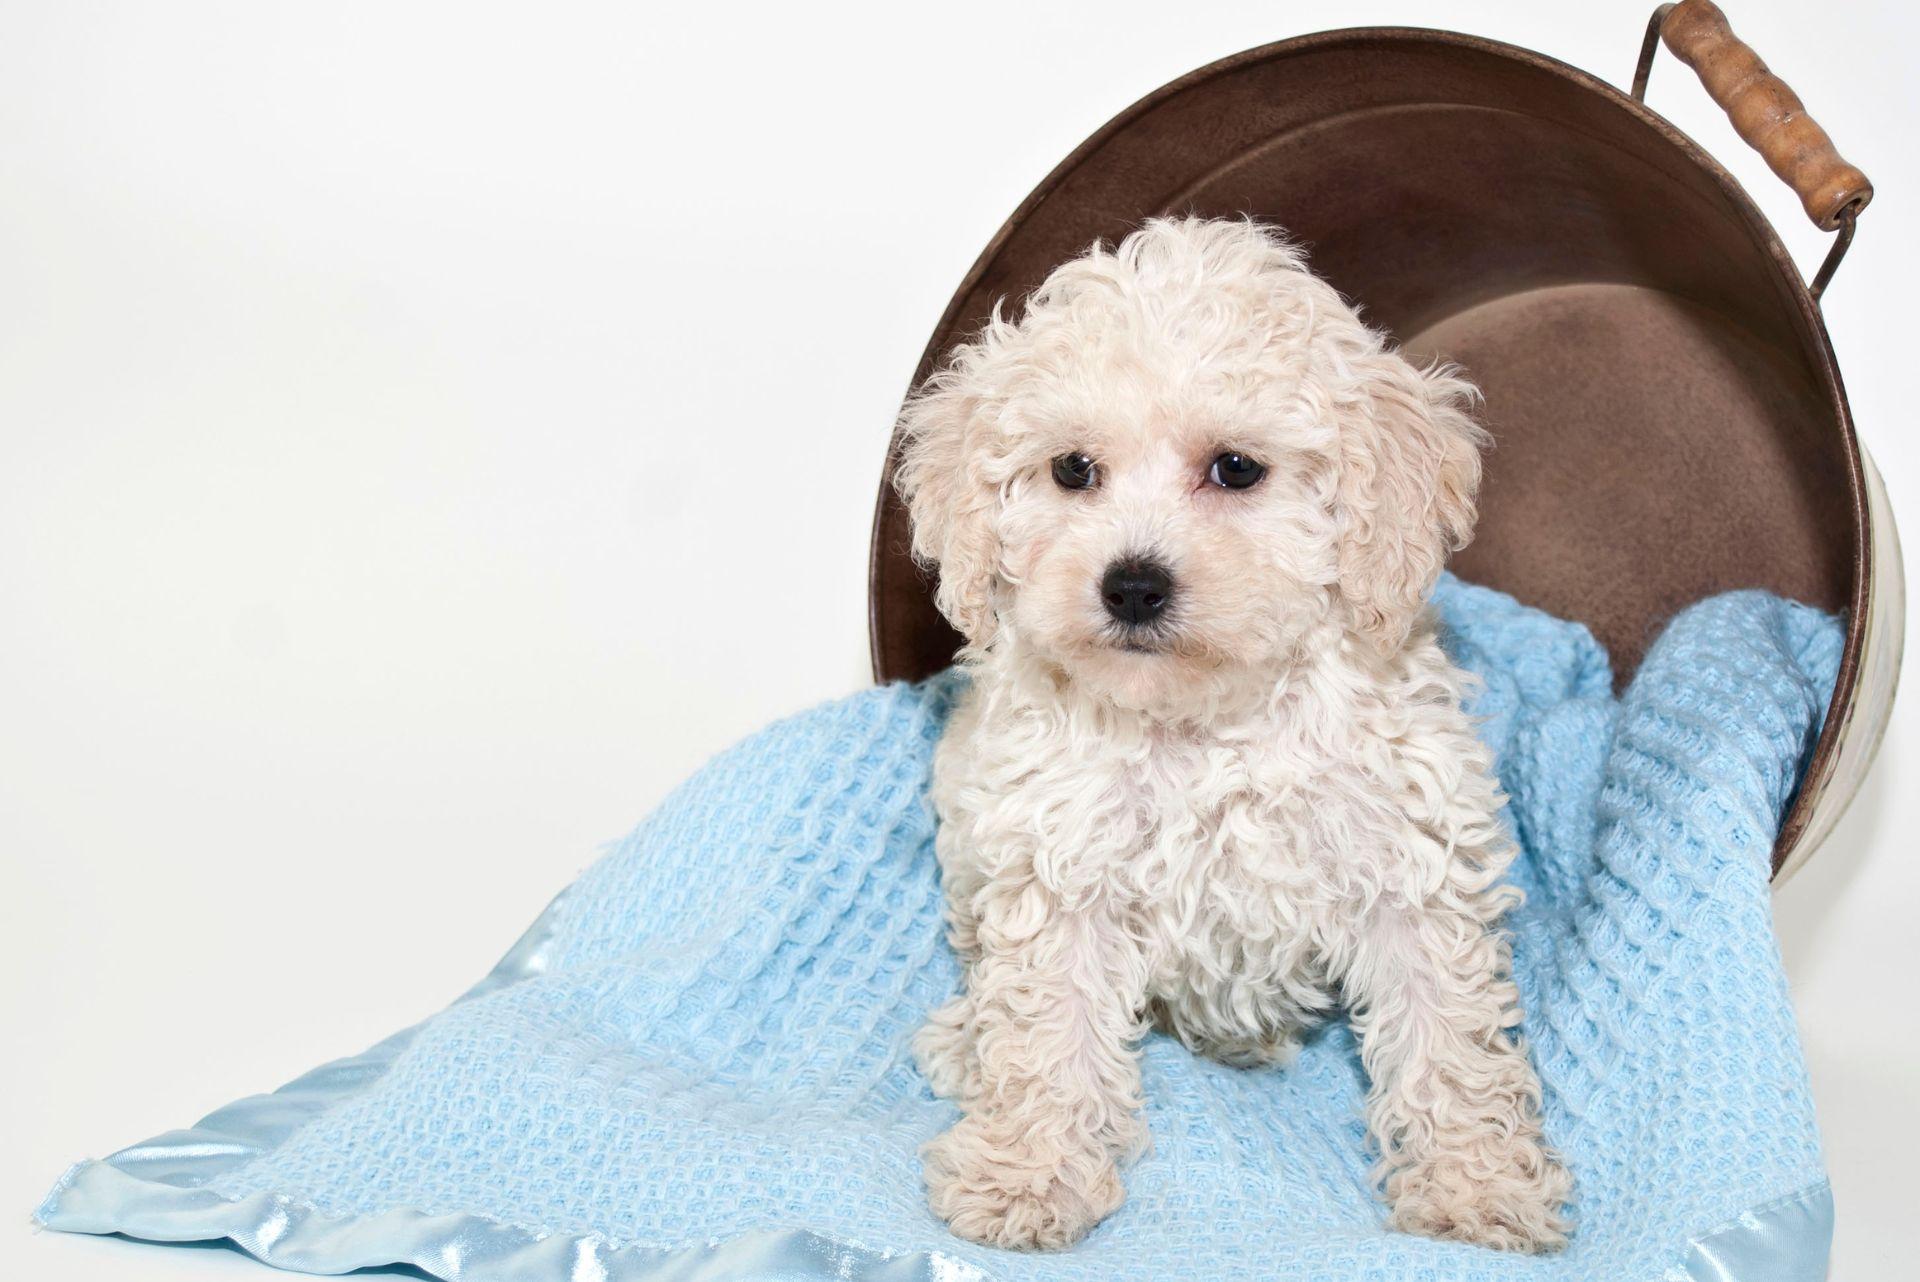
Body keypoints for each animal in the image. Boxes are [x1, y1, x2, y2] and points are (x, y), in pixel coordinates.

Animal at [890, 217, 1566, 1251]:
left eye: (1236, 469)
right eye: (1073, 470)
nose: (1132, 585)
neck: (1203, 723)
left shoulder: (1407, 867)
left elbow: (1446, 1036)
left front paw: (1476, 1185)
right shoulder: (1060, 867)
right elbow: (1048, 1028)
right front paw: (1028, 1175)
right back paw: (970, 1040)